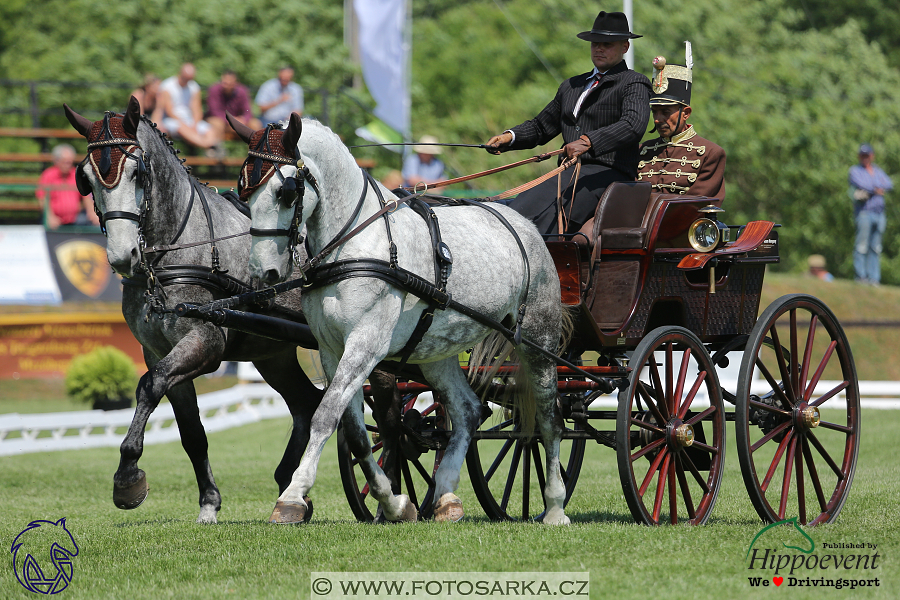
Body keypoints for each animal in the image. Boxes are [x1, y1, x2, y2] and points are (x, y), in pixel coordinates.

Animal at [66, 97, 326, 520]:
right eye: (85, 179)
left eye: (138, 173)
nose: (123, 256)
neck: (177, 248)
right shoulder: (158, 349)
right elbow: (192, 433)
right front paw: (209, 502)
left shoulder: (205, 341)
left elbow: (149, 384)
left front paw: (127, 478)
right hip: (274, 354)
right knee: (307, 403)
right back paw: (289, 484)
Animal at [230, 113, 568, 524]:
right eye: (243, 190)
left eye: (287, 192)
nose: (263, 272)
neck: (355, 241)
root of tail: (524, 224)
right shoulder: (331, 350)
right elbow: (355, 431)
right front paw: (394, 502)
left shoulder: (365, 345)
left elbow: (324, 416)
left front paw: (293, 497)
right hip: (439, 353)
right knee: (469, 411)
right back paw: (445, 496)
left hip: (538, 339)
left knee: (549, 416)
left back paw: (554, 505)